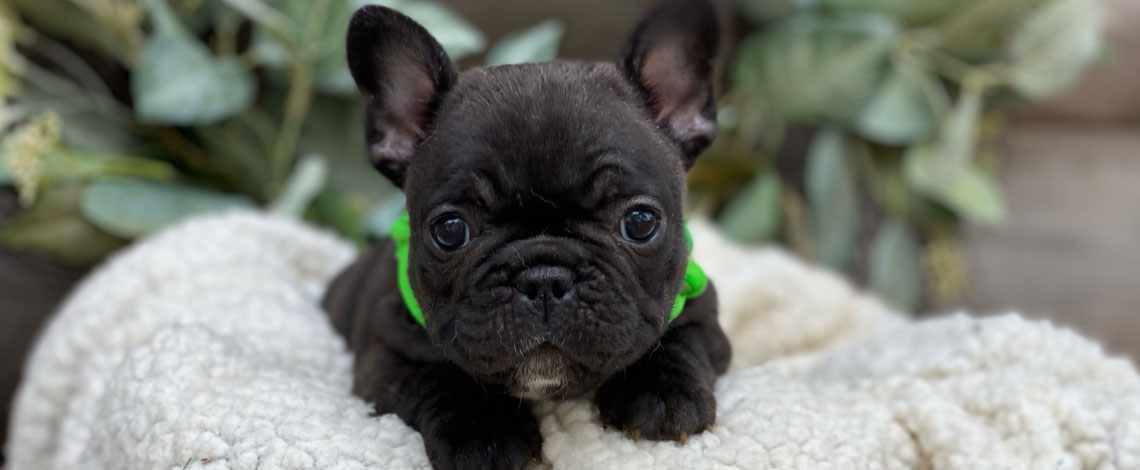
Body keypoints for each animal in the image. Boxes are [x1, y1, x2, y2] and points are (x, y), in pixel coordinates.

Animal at [321, 1, 729, 467]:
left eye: (640, 222)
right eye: (450, 230)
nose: (544, 279)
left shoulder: (704, 316)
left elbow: (680, 342)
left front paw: (662, 394)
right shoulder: (383, 358)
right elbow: (440, 376)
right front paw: (484, 432)